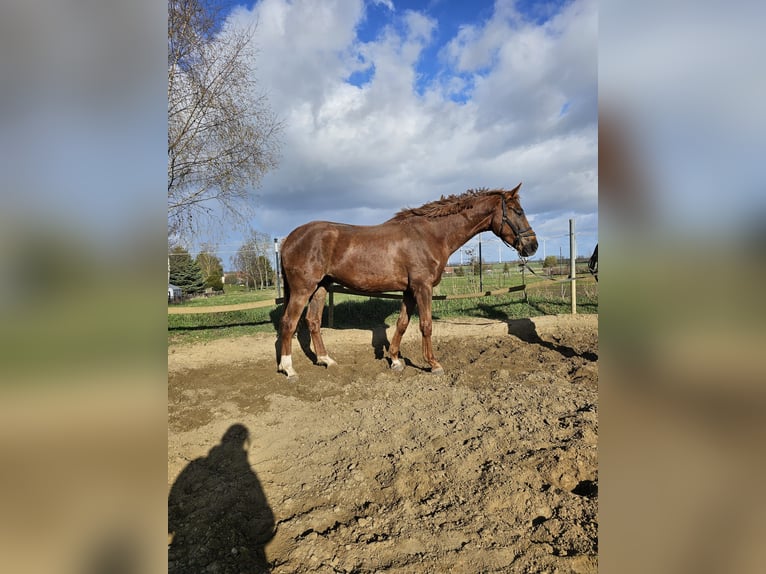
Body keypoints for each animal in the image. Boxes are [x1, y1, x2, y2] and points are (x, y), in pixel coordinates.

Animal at [277, 183, 538, 380]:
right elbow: (426, 325)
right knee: (289, 323)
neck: (430, 235)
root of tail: (290, 237)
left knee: (313, 321)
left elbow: (402, 324)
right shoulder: (422, 287)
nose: (532, 246)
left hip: (321, 288)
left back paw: (325, 360)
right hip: (303, 289)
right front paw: (433, 364)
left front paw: (395, 360)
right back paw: (289, 369)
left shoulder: (409, 291)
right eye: (517, 211)